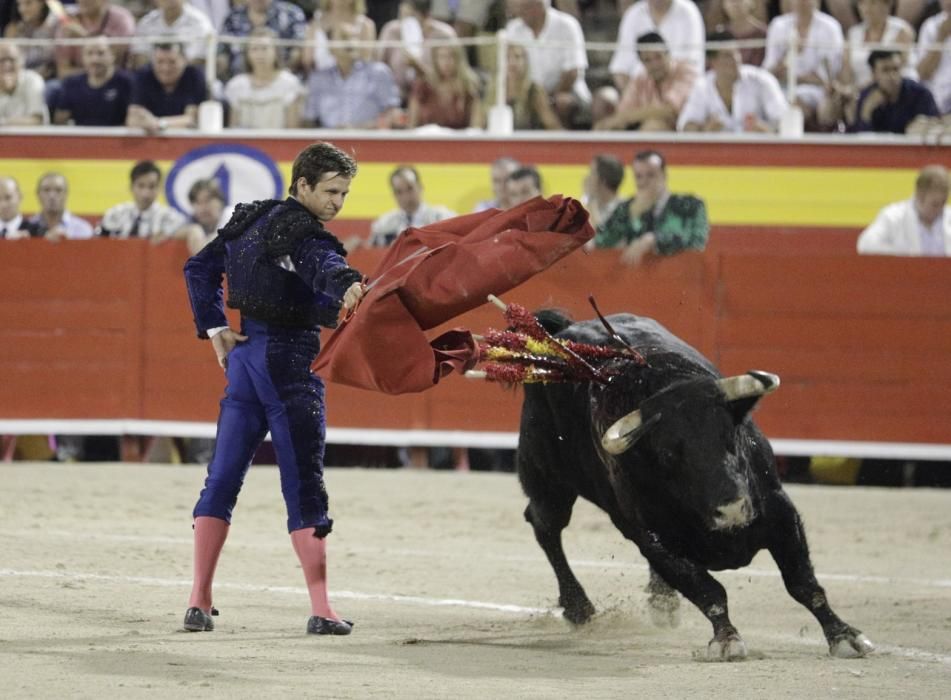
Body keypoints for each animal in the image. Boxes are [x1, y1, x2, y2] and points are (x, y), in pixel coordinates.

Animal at [516, 308, 872, 660]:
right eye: (668, 454)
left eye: (732, 435)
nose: (733, 509)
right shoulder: (653, 538)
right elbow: (707, 590)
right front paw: (726, 640)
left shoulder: (780, 511)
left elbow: (803, 583)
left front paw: (844, 636)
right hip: (547, 480)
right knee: (545, 527)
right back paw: (579, 608)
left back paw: (662, 602)